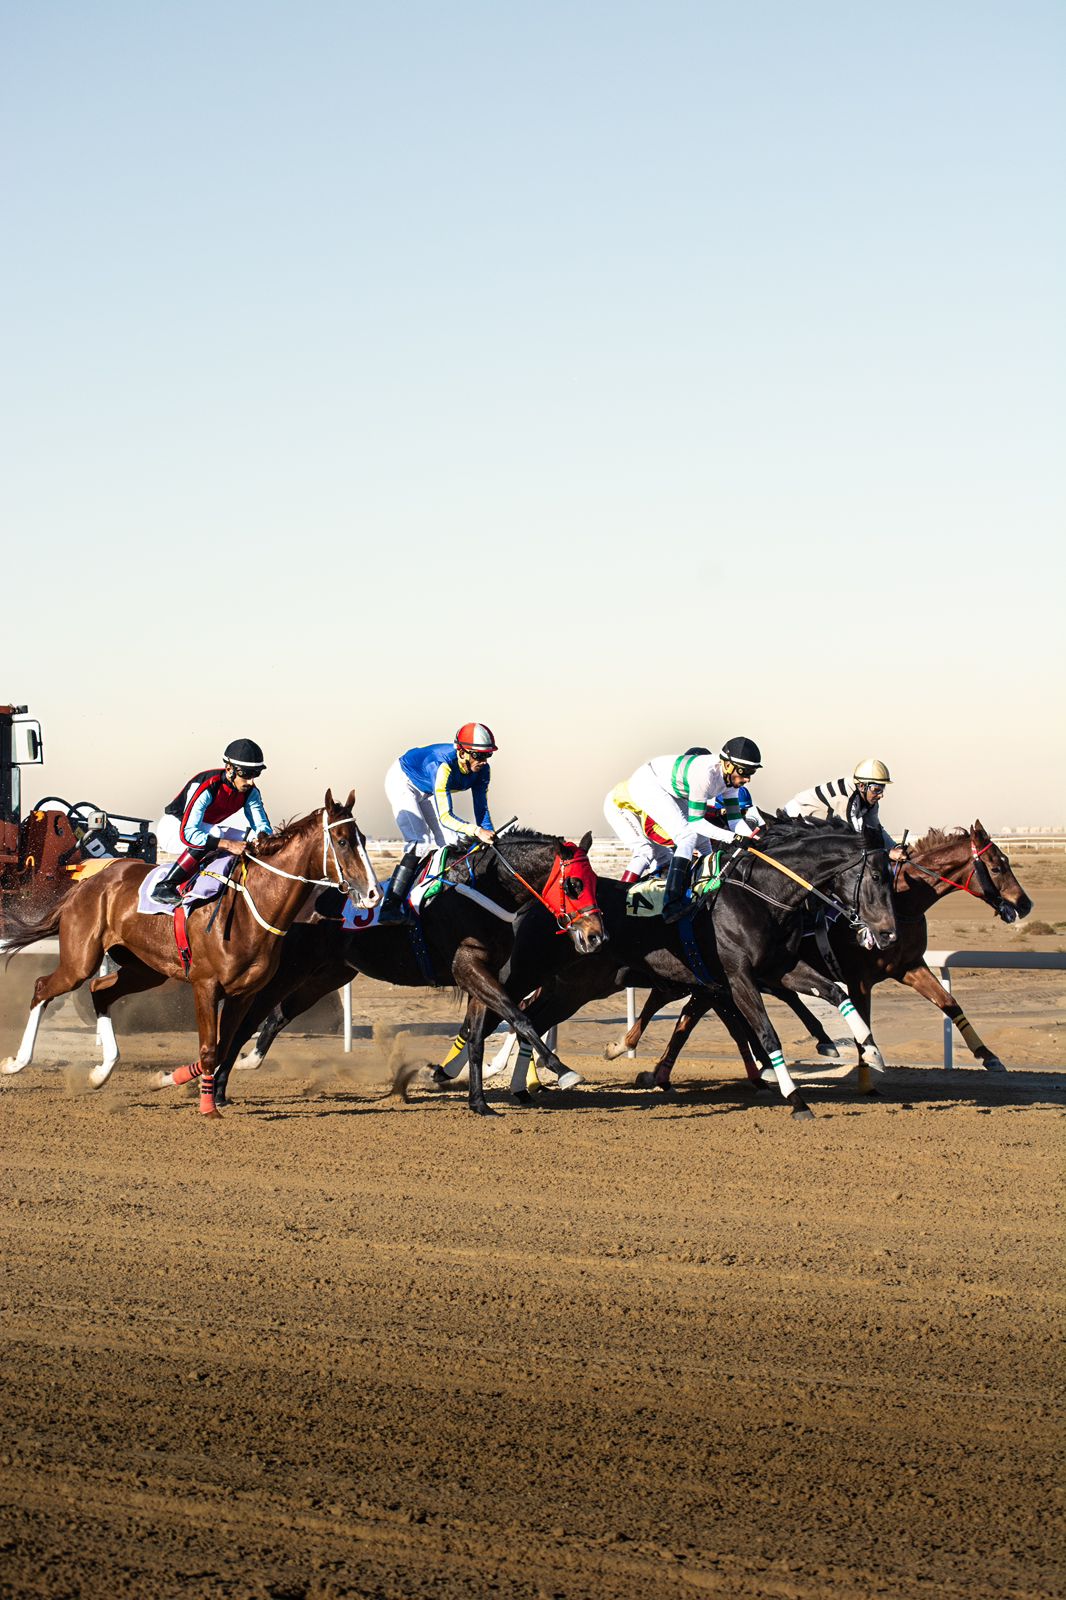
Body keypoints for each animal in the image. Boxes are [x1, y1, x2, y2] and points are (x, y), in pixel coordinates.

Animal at [1, 793, 377, 1120]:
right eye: (342, 841)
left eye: (362, 837)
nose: (373, 893)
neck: (251, 906)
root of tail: (88, 882)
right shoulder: (205, 985)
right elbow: (210, 1048)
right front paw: (209, 1108)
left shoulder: (243, 994)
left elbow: (223, 1047)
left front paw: (168, 1080)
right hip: (81, 960)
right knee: (43, 987)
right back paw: (16, 1063)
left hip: (145, 970)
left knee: (100, 991)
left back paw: (101, 1072)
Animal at [204, 832, 601, 1120]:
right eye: (574, 885)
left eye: (595, 882)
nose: (596, 936)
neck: (486, 890)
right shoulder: (469, 967)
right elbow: (520, 1018)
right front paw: (563, 1069)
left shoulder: (481, 975)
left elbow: (476, 1038)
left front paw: (479, 1103)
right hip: (289, 970)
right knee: (248, 1019)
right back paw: (222, 1086)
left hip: (326, 976)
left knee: (276, 1016)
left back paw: (240, 1069)